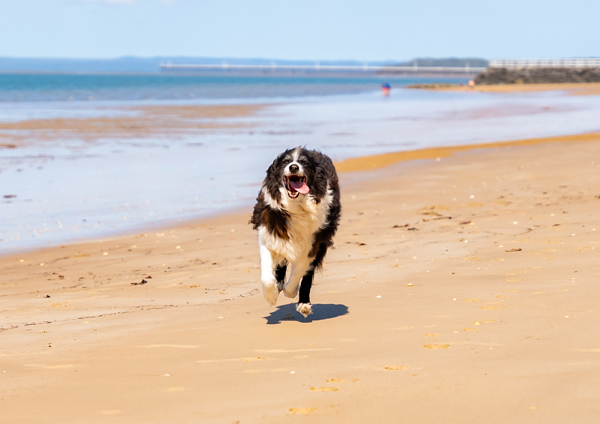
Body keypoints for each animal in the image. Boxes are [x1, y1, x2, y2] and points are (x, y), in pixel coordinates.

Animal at [250, 147, 342, 316]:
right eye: (286, 161)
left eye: (304, 162)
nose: (293, 167)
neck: (296, 205)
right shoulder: (268, 234)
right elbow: (267, 276)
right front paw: (271, 295)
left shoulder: (313, 244)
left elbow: (299, 271)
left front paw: (291, 292)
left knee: (307, 273)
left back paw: (303, 302)